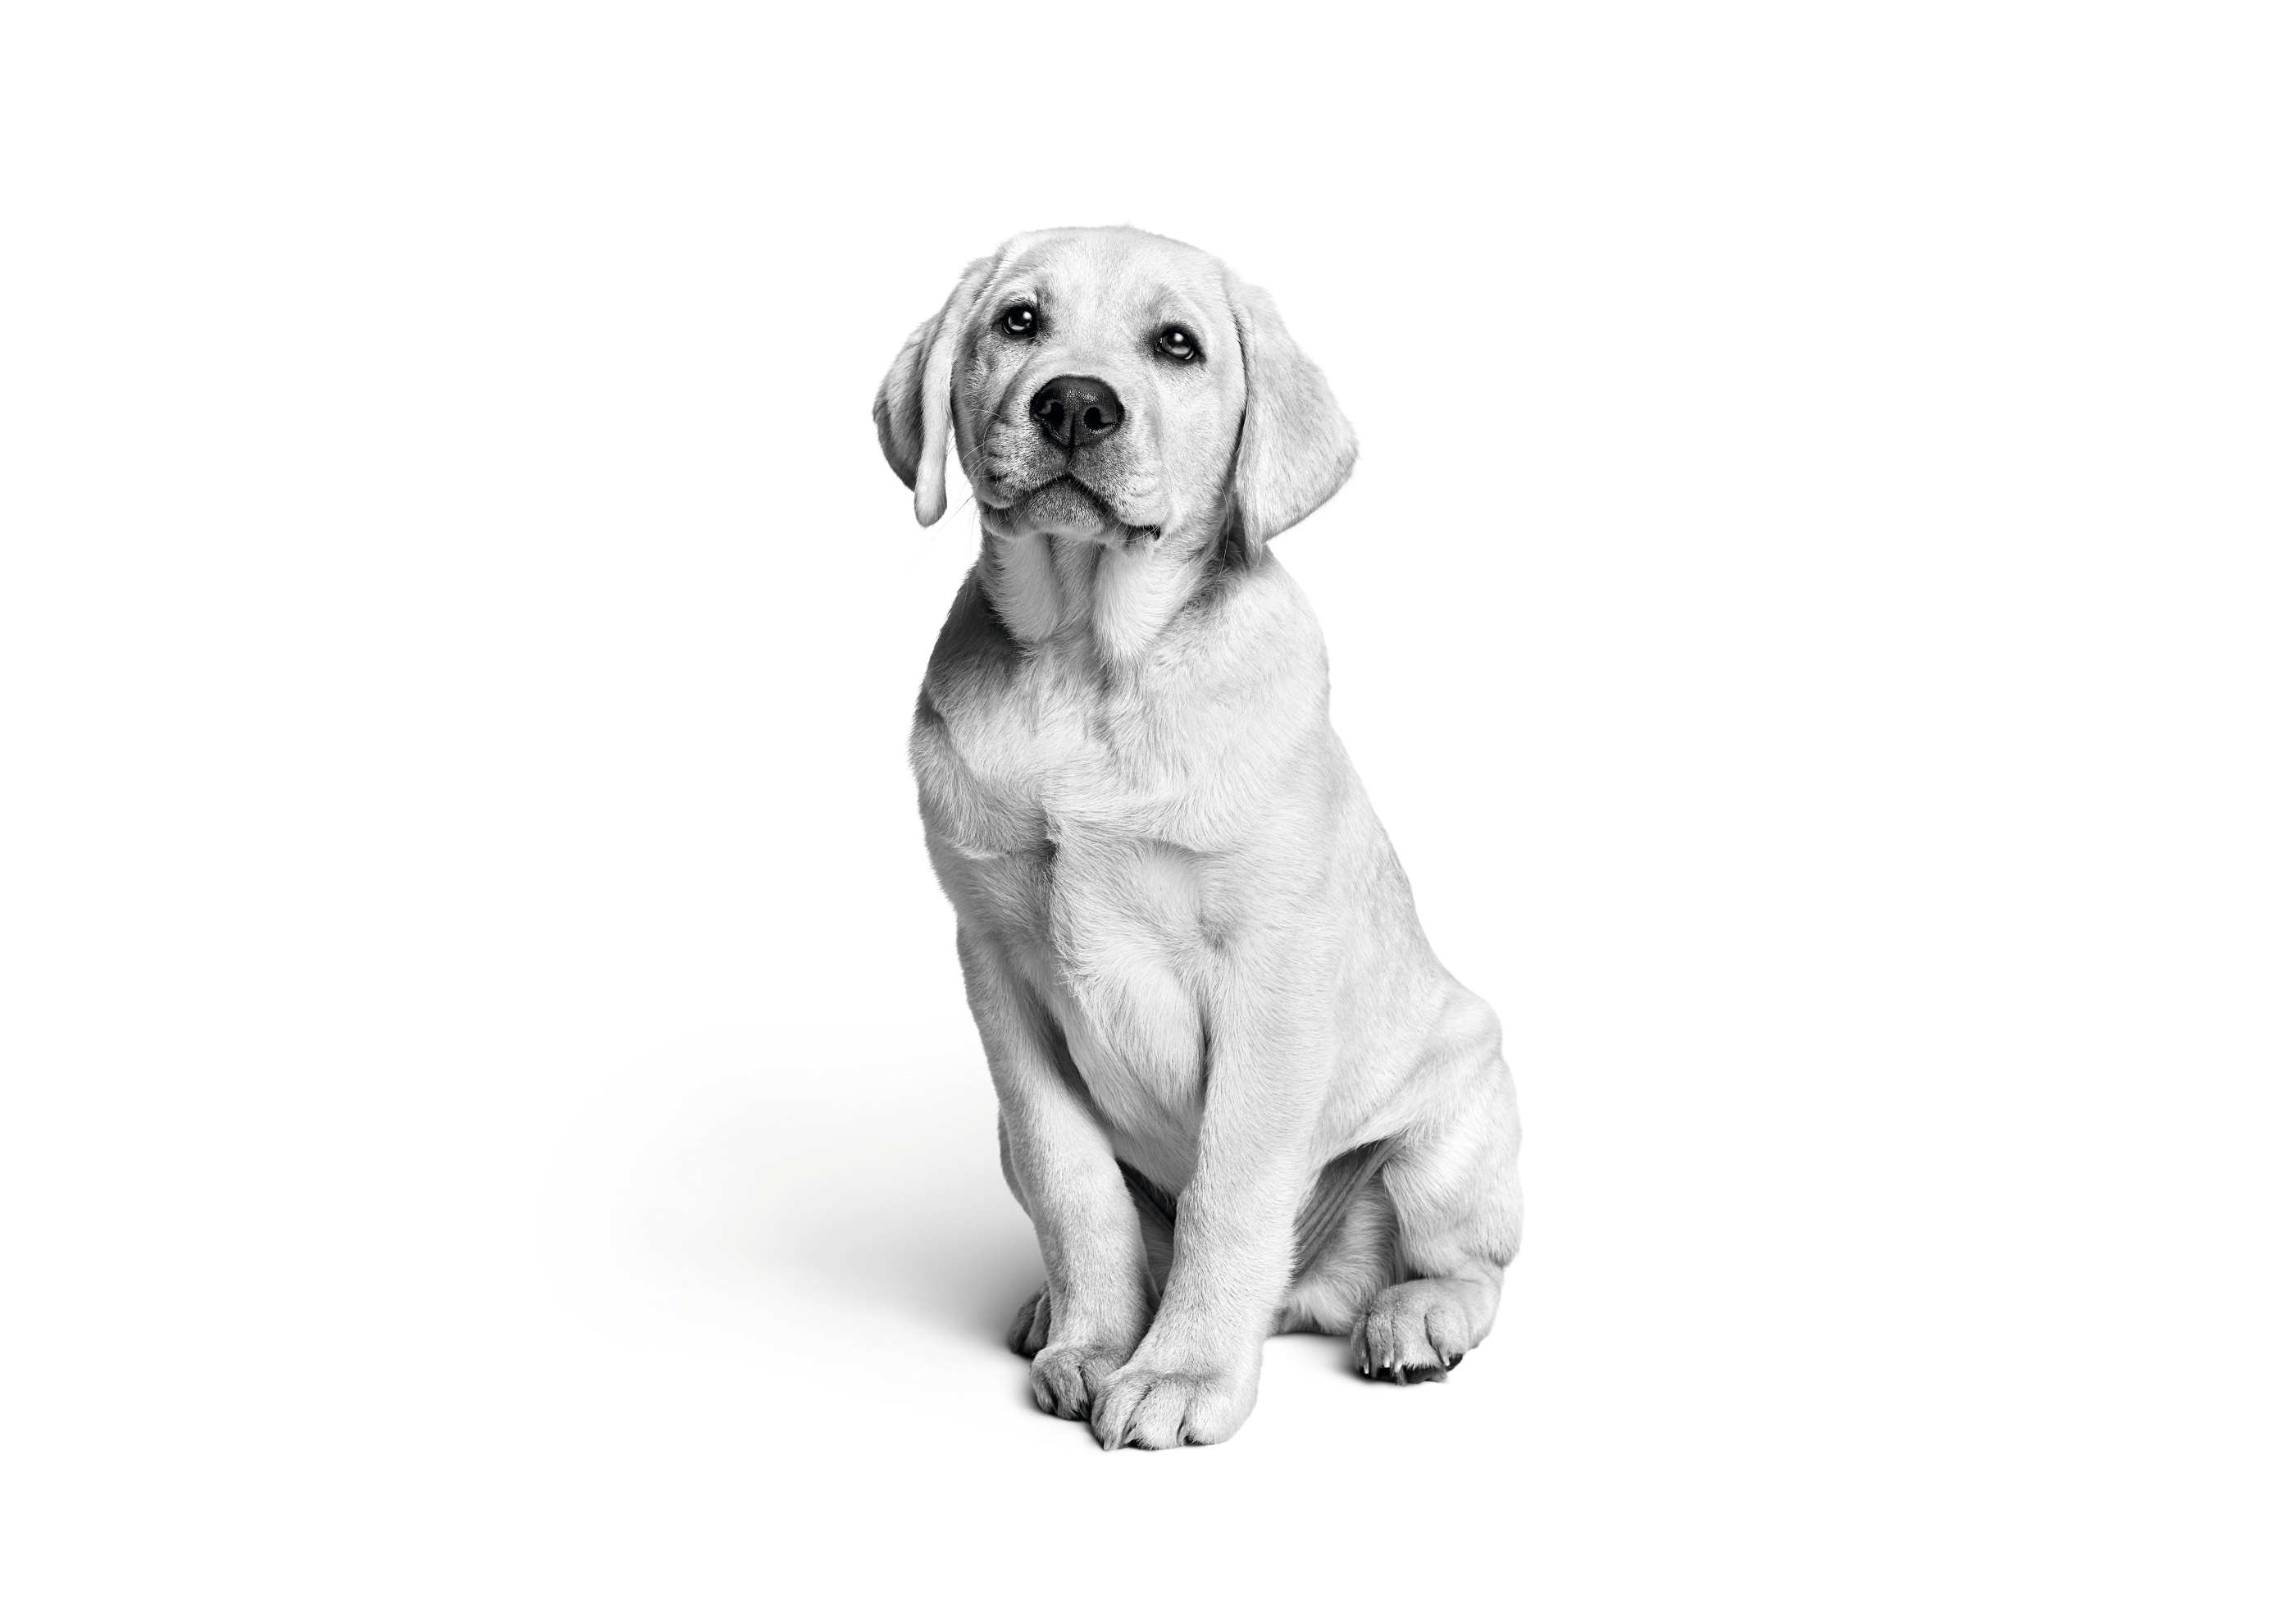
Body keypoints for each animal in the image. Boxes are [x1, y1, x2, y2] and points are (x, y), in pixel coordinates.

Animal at [868, 225, 1515, 1451]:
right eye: (1018, 322)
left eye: (1178, 345)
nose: (1075, 405)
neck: (1091, 660)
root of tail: (1313, 1300)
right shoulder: (1000, 975)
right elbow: (1074, 1186)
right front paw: (1094, 1344)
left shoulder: (1267, 975)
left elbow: (1233, 1187)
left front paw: (1180, 1374)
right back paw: (1064, 1314)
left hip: (1458, 1117)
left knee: (1469, 1264)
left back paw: (1413, 1319)